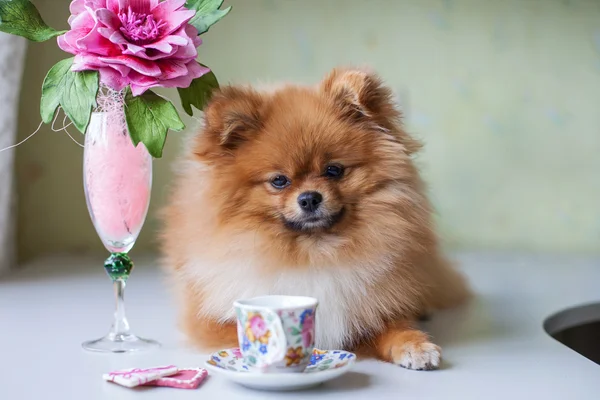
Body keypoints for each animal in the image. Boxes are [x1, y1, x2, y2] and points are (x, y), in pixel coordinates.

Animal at [159, 67, 468, 370]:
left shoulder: (375, 301)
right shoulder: (213, 320)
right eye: (279, 180)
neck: (314, 251)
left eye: (334, 170)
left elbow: (390, 324)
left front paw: (414, 345)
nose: (309, 198)